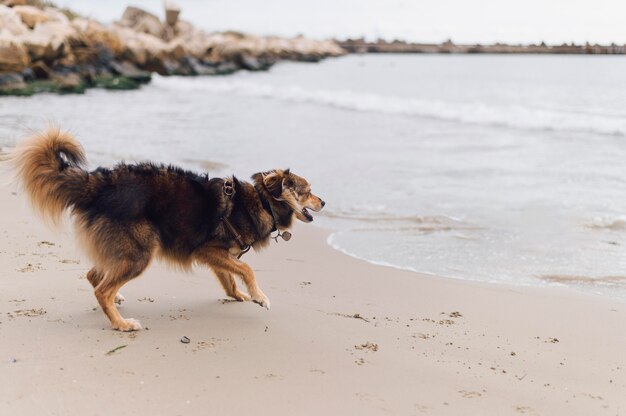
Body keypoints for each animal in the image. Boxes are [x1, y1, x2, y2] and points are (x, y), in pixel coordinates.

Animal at [12, 127, 324, 332]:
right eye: (308, 191)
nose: (324, 202)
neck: (261, 201)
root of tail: (100, 185)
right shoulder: (209, 250)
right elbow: (246, 270)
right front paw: (259, 296)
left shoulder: (219, 255)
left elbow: (230, 280)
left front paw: (241, 296)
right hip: (140, 253)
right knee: (101, 289)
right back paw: (121, 324)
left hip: (124, 251)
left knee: (94, 276)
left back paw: (117, 301)